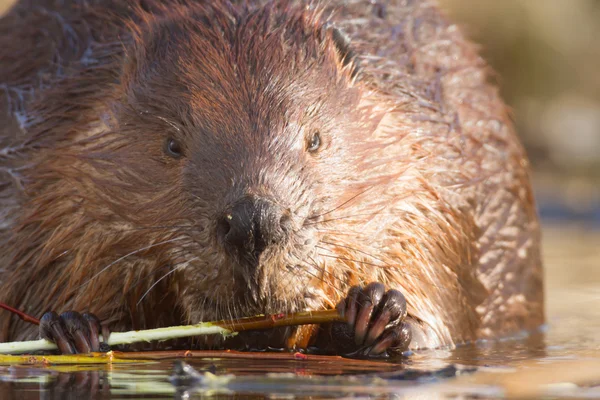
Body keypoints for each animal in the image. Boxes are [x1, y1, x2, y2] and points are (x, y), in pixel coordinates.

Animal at [0, 0, 544, 356]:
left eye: (315, 138)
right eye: (172, 145)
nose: (253, 221)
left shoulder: (435, 185)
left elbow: (436, 314)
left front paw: (378, 312)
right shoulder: (42, 183)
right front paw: (70, 328)